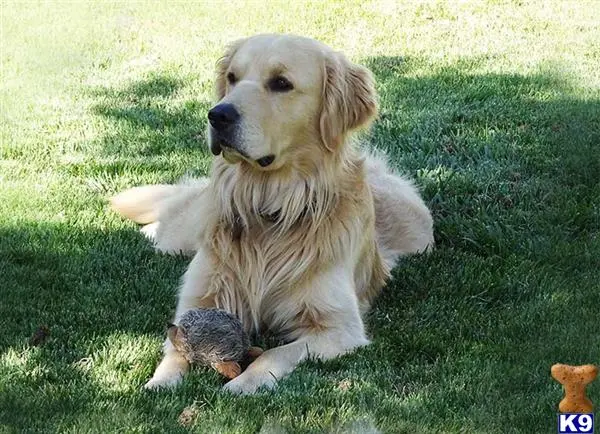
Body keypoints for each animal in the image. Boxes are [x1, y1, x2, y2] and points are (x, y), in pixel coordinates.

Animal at [111, 34, 432, 394]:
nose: (217, 115)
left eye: (281, 83)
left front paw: (244, 383)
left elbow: (275, 352)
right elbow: (176, 346)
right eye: (232, 78)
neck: (269, 205)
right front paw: (161, 381)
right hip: (180, 236)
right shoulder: (197, 298)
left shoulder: (340, 329)